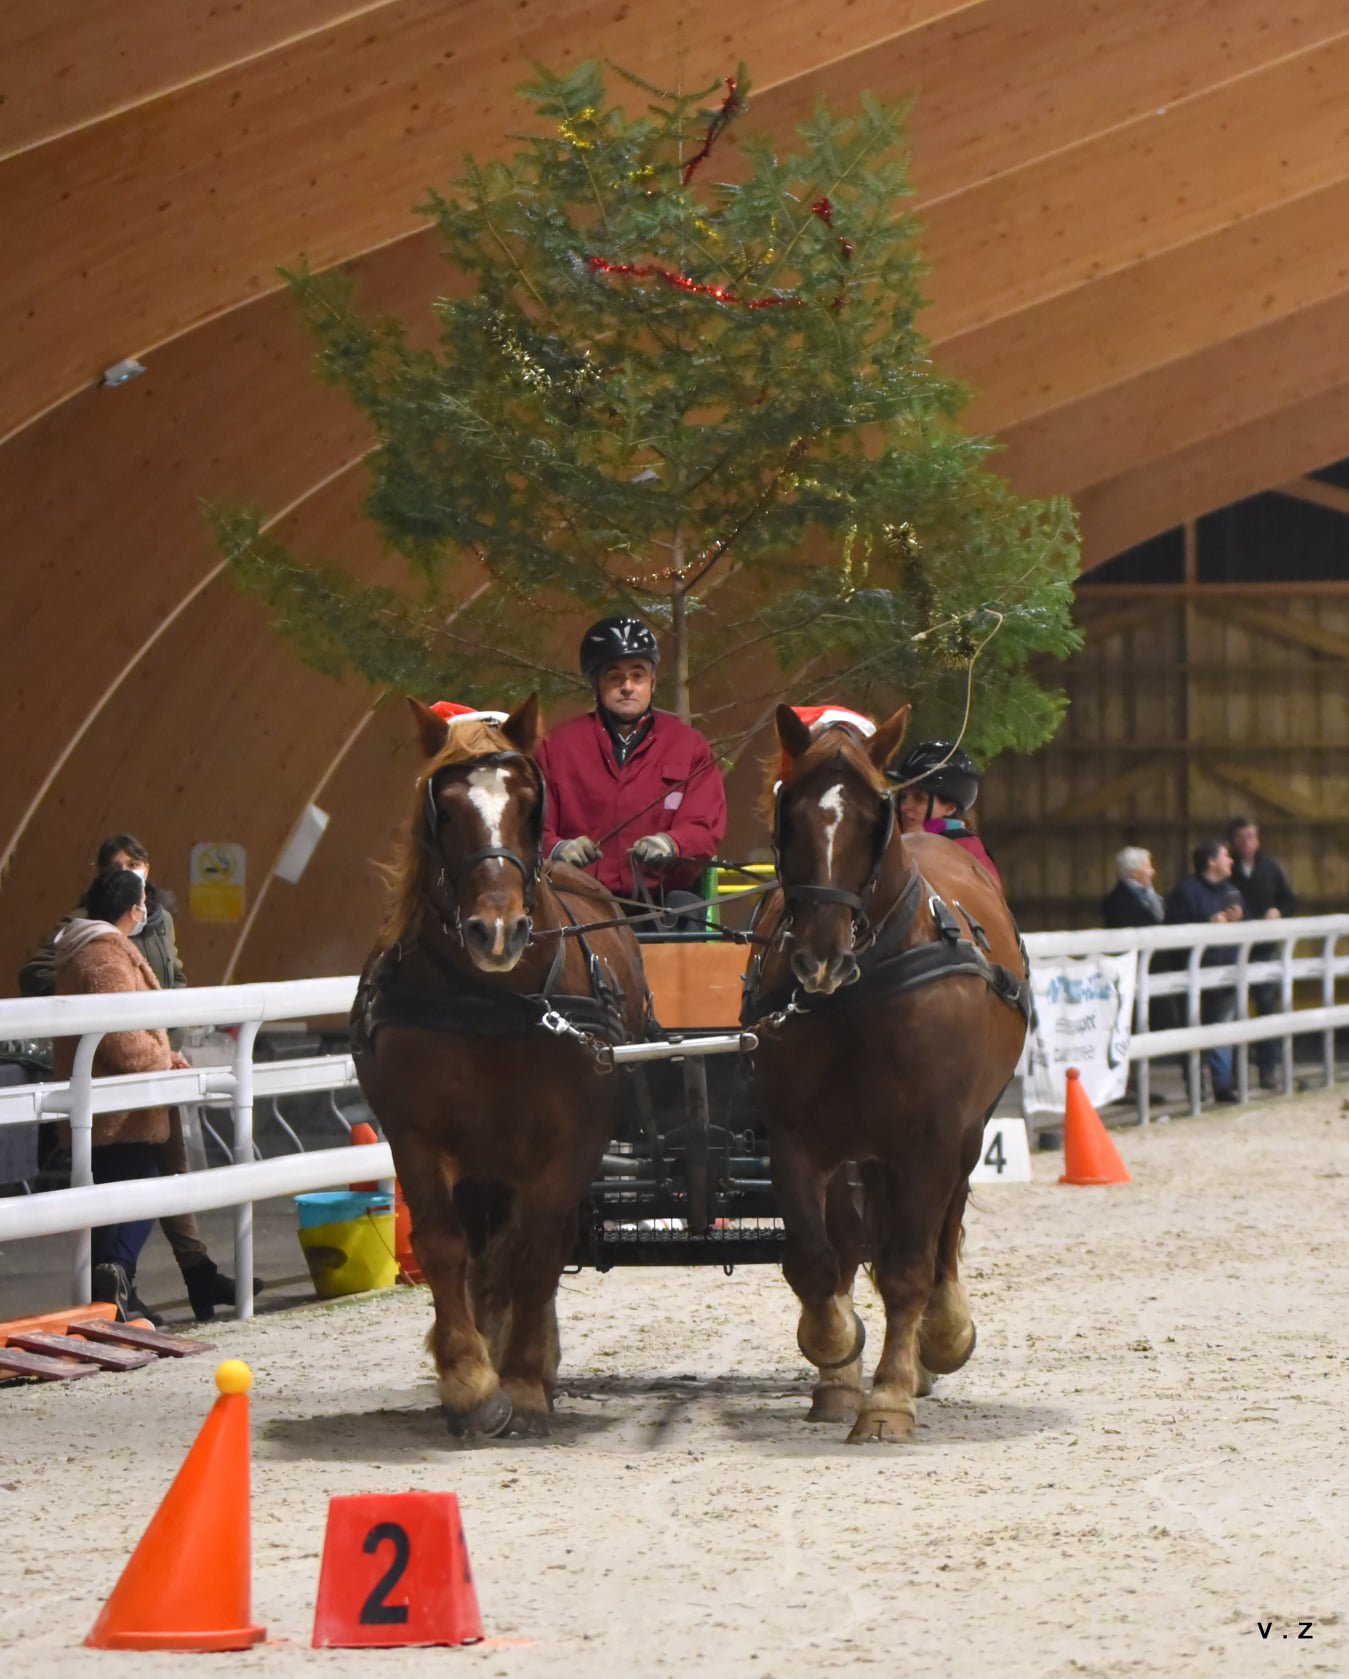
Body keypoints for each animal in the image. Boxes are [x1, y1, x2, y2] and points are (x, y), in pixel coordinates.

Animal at [352, 701, 648, 1437]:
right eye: (447, 809)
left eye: (528, 804)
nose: (496, 931)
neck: (492, 1001)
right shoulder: (416, 1135)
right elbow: (441, 1244)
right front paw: (468, 1379)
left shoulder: (574, 1139)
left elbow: (538, 1249)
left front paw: (520, 1381)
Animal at [742, 708, 1028, 1443]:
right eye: (788, 810)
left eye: (877, 815)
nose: (820, 954)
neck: (860, 992)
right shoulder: (795, 1137)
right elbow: (818, 1261)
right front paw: (836, 1350)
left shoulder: (930, 1139)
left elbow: (907, 1268)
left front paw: (890, 1397)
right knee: (851, 1241)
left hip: (962, 1135)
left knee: (940, 1236)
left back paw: (940, 1337)